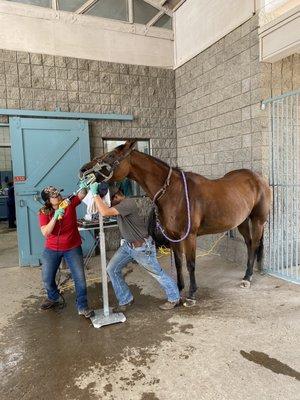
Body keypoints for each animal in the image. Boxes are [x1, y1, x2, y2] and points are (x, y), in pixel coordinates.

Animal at [79, 141, 272, 306]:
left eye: (111, 155)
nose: (83, 170)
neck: (173, 192)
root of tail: (259, 178)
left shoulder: (190, 236)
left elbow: (190, 264)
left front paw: (191, 295)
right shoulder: (173, 237)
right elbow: (179, 262)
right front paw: (179, 289)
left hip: (258, 220)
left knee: (255, 244)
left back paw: (247, 278)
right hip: (242, 221)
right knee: (249, 244)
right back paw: (249, 273)